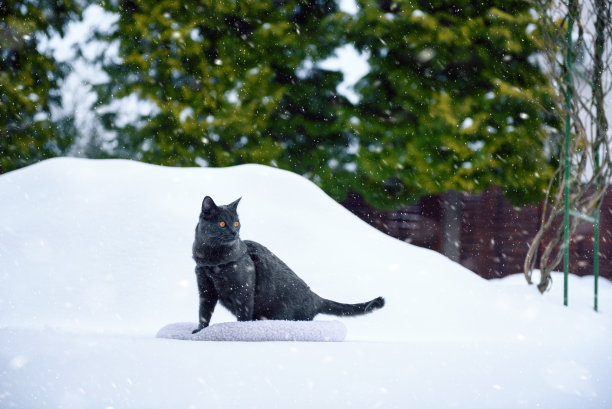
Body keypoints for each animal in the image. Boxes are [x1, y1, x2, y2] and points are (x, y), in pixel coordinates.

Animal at [191, 194, 384, 332]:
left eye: (237, 223)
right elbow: (203, 313)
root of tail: (316, 298)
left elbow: (243, 317)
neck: (212, 262)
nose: (234, 232)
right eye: (222, 224)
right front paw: (199, 331)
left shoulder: (243, 294)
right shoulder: (206, 290)